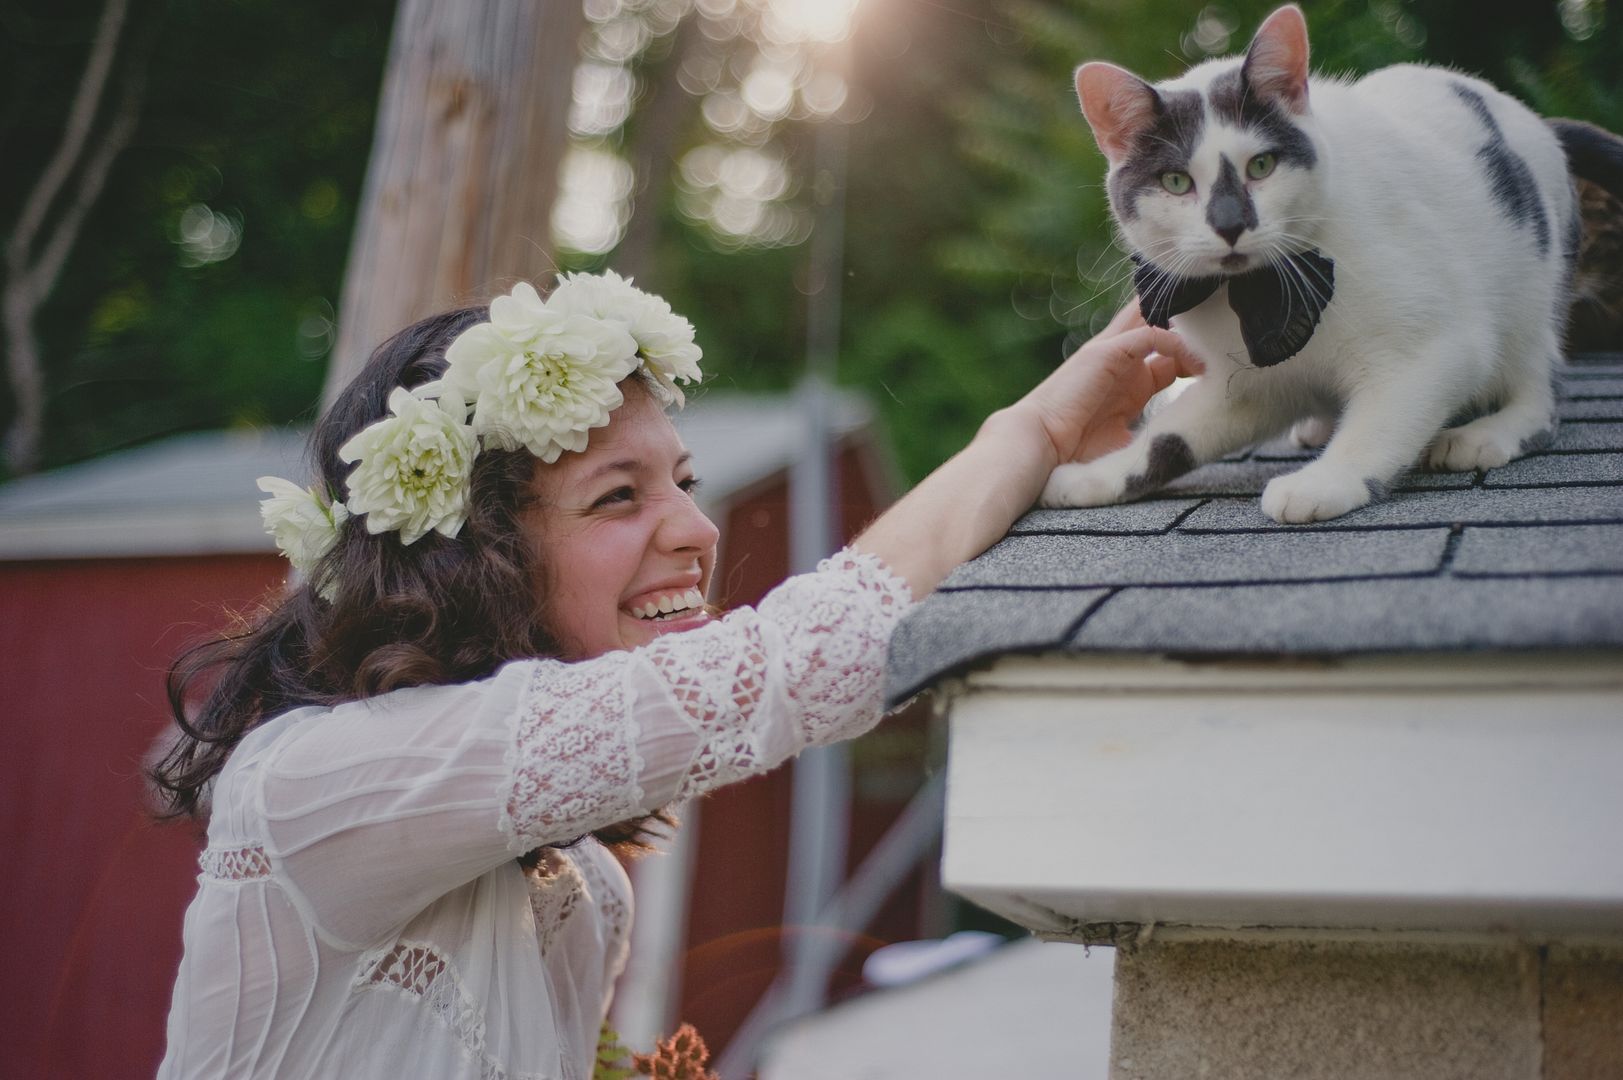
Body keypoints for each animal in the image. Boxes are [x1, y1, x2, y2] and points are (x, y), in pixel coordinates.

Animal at [1038, 0, 1623, 522]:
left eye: (1262, 165)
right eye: (1176, 181)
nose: (1229, 224)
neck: (1252, 292)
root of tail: (1534, 120)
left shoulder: (1443, 346)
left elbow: (1384, 419)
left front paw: (1326, 481)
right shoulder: (1245, 385)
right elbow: (1170, 437)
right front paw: (1097, 474)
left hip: (1532, 287)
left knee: (1541, 390)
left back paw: (1489, 433)